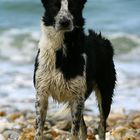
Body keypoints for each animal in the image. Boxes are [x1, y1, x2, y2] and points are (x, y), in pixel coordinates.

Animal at [33, 0, 116, 139]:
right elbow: (39, 130)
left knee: (101, 125)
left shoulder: (77, 98)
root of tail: (101, 39)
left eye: (73, 6)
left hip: (104, 94)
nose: (64, 22)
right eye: (55, 6)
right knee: (84, 127)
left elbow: (74, 131)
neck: (61, 50)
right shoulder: (41, 94)